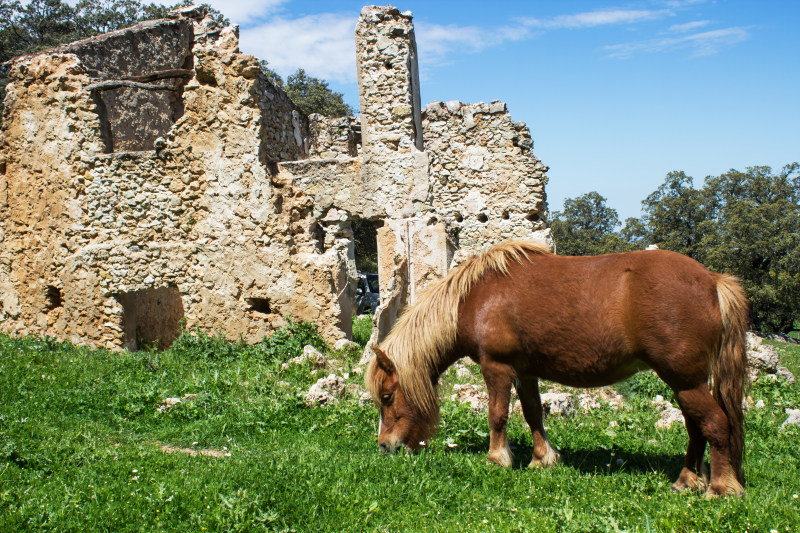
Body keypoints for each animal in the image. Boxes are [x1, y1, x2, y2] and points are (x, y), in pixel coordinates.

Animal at [368, 239, 752, 496]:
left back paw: (720, 488)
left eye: (387, 397)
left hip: (685, 381)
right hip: (686, 383)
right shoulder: (525, 372)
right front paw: (542, 459)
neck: (475, 298)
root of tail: (713, 281)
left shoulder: (497, 368)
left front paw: (497, 458)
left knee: (715, 425)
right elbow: (533, 413)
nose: (385, 447)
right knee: (696, 429)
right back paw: (687, 481)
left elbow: (498, 414)